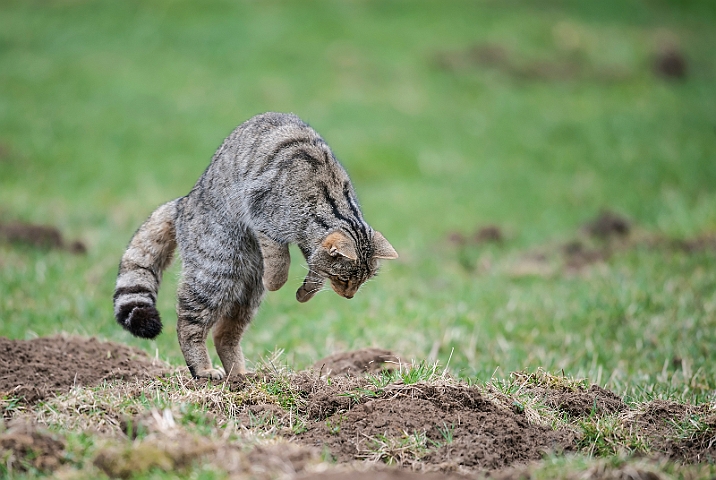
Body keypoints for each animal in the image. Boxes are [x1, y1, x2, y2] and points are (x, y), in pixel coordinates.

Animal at [112, 112, 398, 378]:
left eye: (361, 281)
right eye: (346, 279)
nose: (349, 296)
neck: (334, 205)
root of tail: (183, 203)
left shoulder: (307, 243)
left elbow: (314, 268)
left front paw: (306, 291)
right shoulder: (263, 217)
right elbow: (280, 262)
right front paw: (278, 281)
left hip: (246, 293)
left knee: (223, 334)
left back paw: (240, 376)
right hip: (215, 273)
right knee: (188, 325)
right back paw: (204, 369)